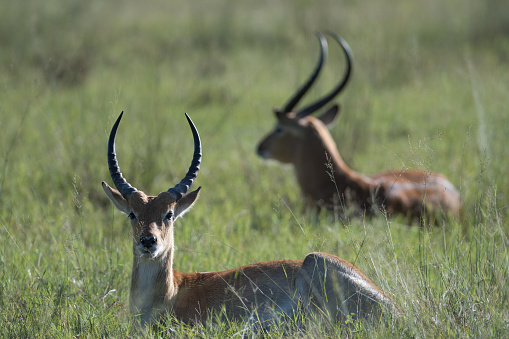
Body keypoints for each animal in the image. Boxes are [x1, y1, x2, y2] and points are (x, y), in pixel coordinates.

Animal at [101, 113, 394, 330]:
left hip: (314, 268)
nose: (148, 242)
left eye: (169, 214)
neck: (173, 291)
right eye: (132, 213)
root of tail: (393, 306)